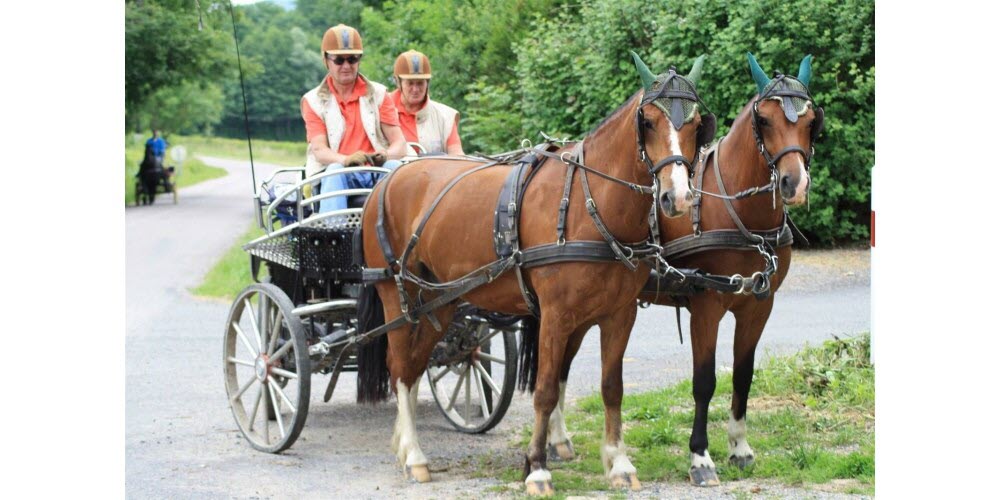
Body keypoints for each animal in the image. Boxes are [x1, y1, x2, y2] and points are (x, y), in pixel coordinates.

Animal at [356, 53, 716, 492]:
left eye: (697, 126)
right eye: (647, 121)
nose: (677, 197)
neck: (588, 205)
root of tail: (389, 178)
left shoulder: (619, 314)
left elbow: (611, 388)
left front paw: (618, 463)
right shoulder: (556, 316)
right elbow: (545, 389)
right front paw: (538, 468)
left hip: (440, 301)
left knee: (414, 365)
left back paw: (406, 446)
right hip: (397, 295)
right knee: (400, 368)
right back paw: (414, 454)